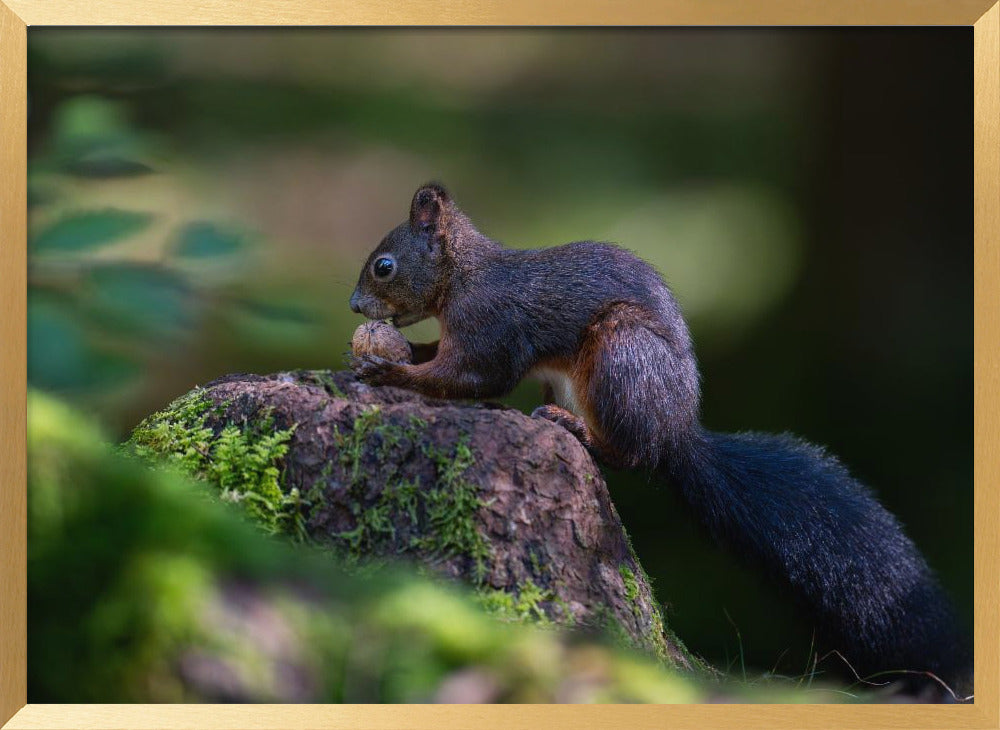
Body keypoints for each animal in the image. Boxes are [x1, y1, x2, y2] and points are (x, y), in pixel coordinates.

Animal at [348, 183, 971, 693]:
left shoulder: (489, 327)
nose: (354, 306)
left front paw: (390, 372)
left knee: (631, 455)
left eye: (384, 266)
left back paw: (577, 429)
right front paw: (386, 353)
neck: (465, 276)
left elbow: (474, 377)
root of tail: (677, 432)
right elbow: (445, 361)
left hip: (621, 355)